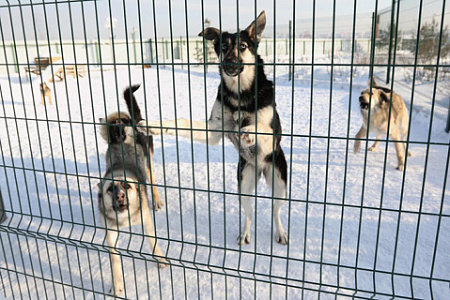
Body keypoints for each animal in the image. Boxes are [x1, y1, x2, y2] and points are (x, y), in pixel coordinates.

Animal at [98, 84, 167, 296]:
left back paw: (157, 200)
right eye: (110, 189)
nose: (120, 196)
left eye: (126, 186)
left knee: (152, 183)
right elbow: (114, 259)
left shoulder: (146, 219)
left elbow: (153, 242)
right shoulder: (110, 232)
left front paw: (160, 260)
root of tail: (122, 137)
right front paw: (118, 284)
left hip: (148, 163)